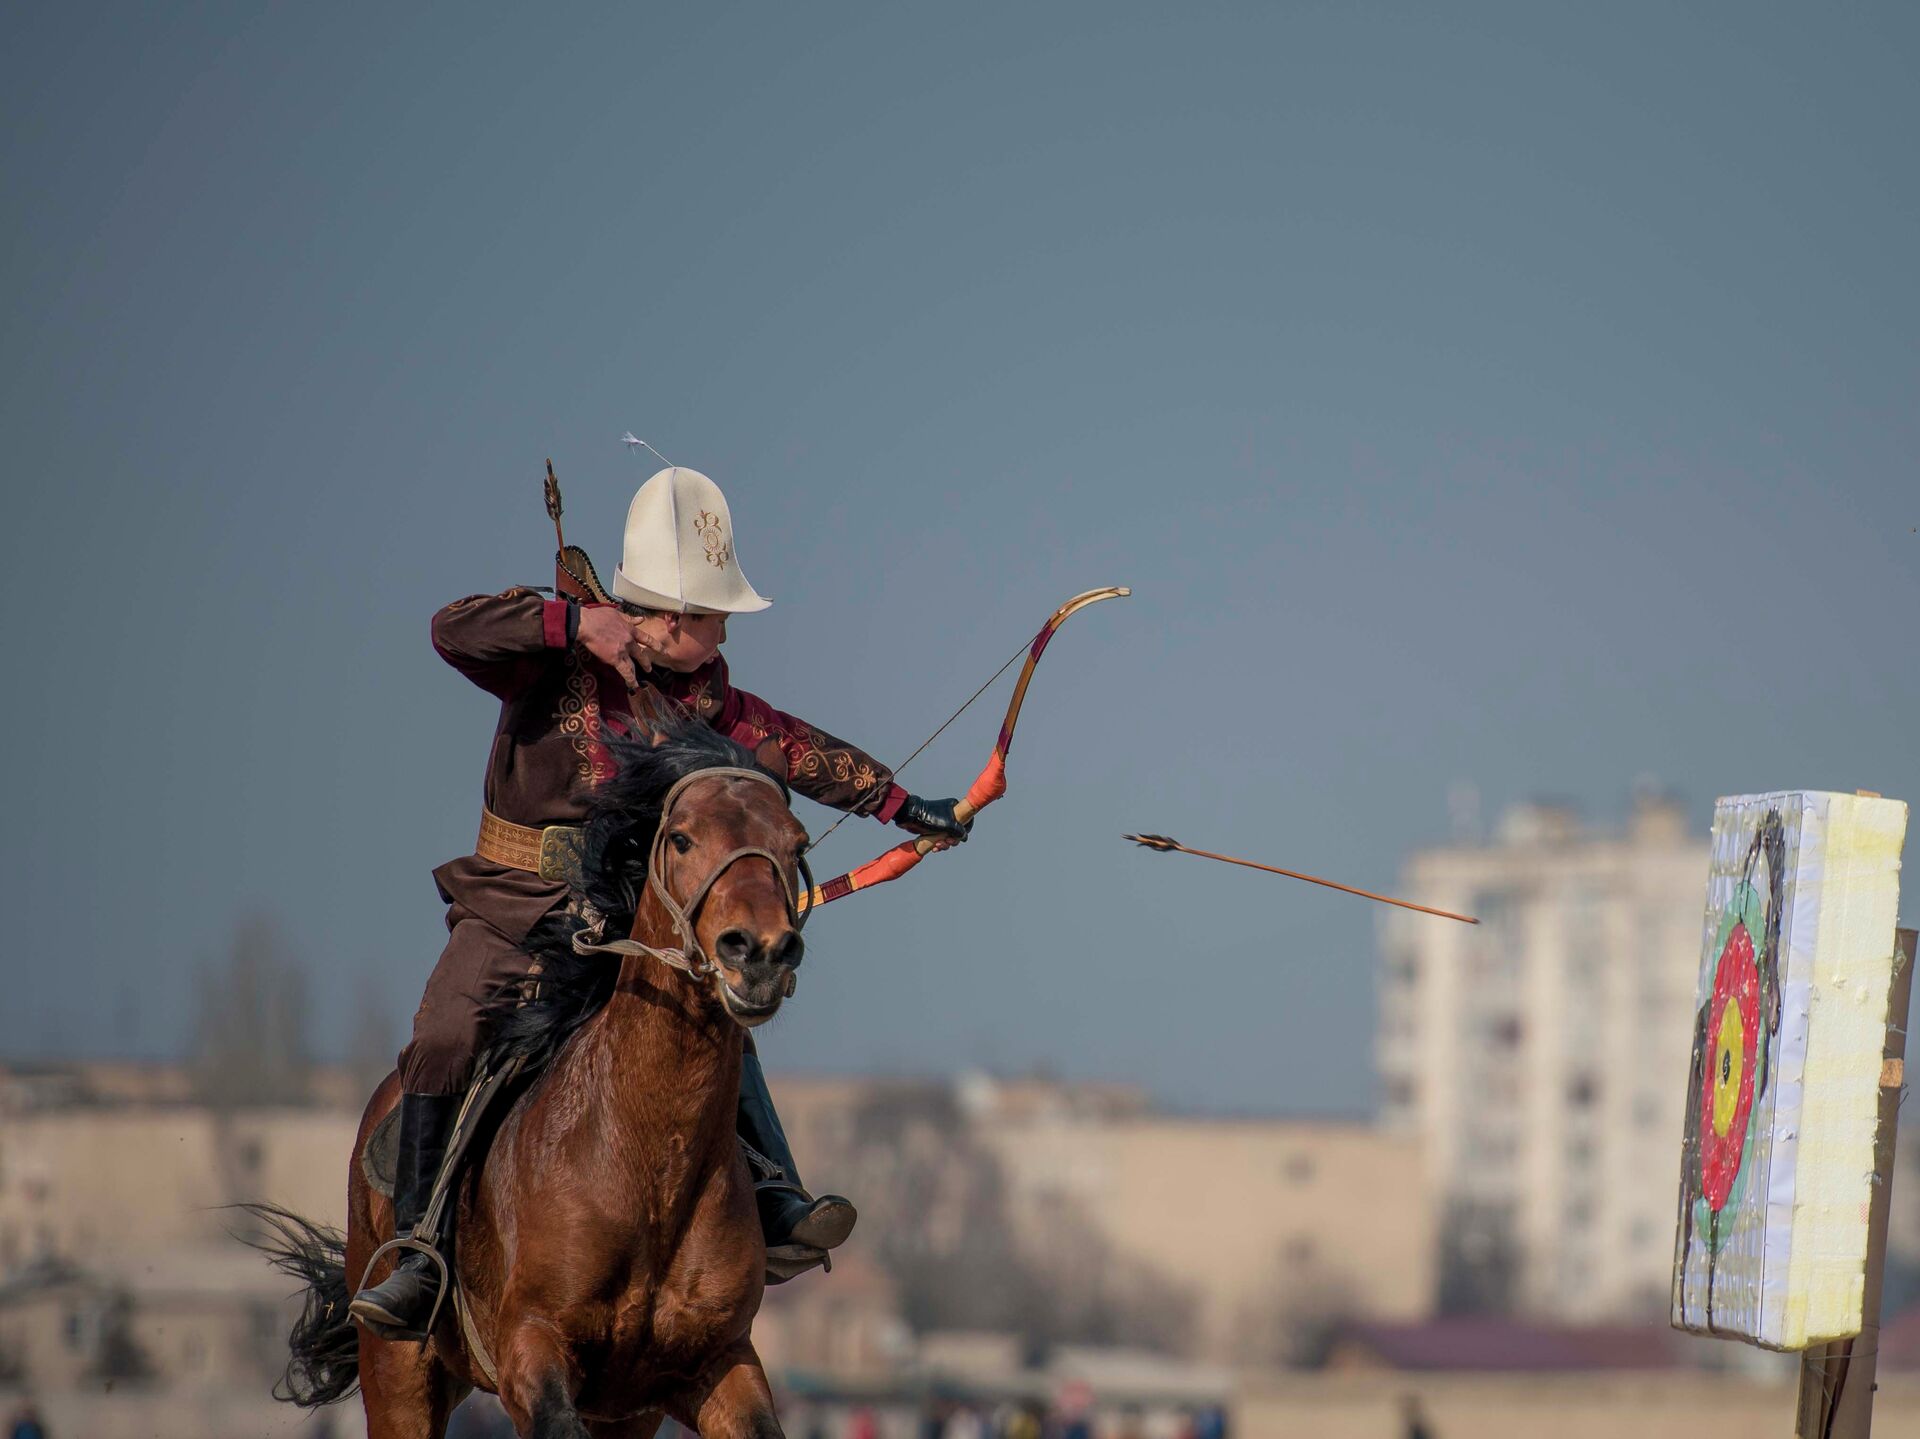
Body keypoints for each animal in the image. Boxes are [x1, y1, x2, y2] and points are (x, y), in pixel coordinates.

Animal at [245, 722, 810, 1437]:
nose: (759, 953)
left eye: (796, 843)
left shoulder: (712, 1364)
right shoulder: (530, 1348)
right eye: (681, 837)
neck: (643, 1163)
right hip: (397, 1375)